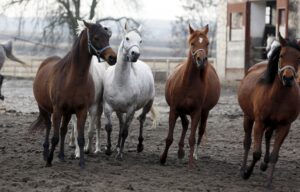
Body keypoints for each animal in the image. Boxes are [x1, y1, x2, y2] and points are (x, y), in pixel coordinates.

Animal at [30, 21, 117, 167]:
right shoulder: (58, 110)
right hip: (43, 108)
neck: (72, 79)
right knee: (48, 126)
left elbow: (80, 137)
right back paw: (46, 153)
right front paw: (49, 160)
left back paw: (62, 155)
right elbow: (55, 137)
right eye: (96, 37)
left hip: (68, 113)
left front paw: (81, 162)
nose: (113, 58)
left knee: (63, 130)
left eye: (108, 36)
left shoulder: (81, 110)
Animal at [103, 23, 156, 160]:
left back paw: (139, 145)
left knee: (141, 119)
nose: (135, 54)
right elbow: (109, 128)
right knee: (121, 124)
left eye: (140, 40)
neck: (121, 82)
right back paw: (117, 146)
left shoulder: (131, 110)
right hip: (119, 110)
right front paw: (108, 149)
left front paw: (120, 154)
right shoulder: (108, 107)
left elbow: (125, 132)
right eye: (127, 38)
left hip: (148, 104)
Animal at [159, 24, 220, 169]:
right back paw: (180, 152)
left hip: (205, 112)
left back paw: (194, 154)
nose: (201, 60)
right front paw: (163, 159)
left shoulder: (196, 112)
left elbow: (192, 138)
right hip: (181, 110)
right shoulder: (174, 109)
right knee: (186, 124)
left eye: (207, 43)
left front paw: (191, 162)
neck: (188, 83)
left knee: (200, 131)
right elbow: (169, 138)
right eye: (192, 43)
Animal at [238, 33, 300, 188]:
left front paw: (269, 182)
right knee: (247, 142)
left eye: (299, 57)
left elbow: (274, 155)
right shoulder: (259, 122)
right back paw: (243, 168)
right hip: (248, 118)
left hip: (272, 124)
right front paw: (247, 173)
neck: (278, 96)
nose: (288, 78)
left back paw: (264, 165)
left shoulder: (284, 126)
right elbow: (256, 153)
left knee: (267, 136)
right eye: (282, 55)